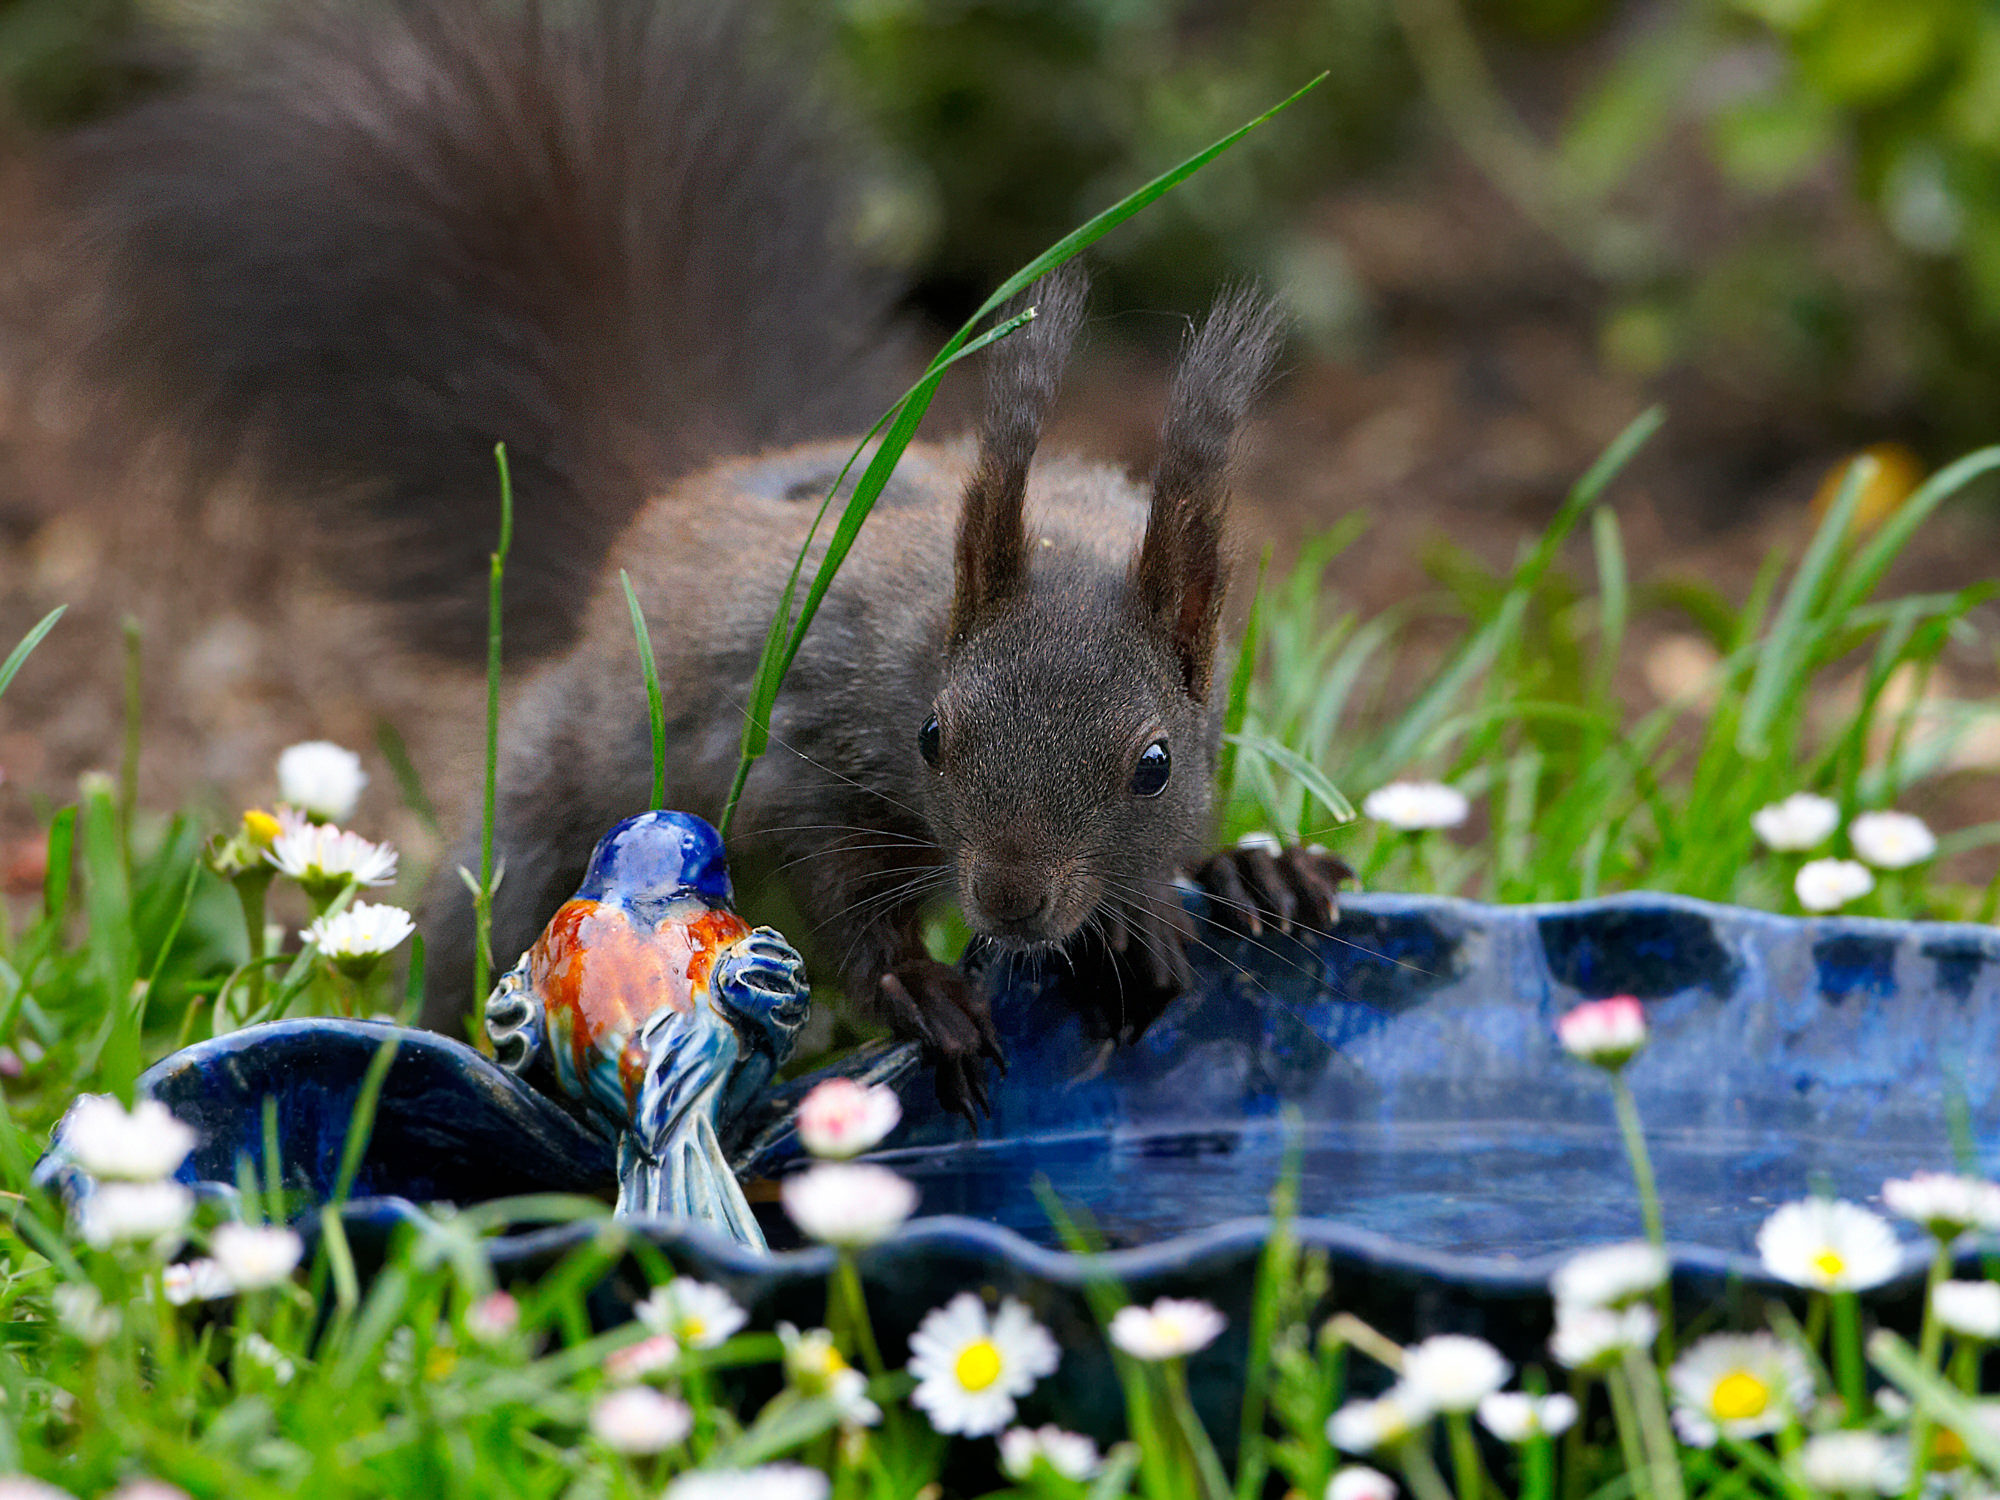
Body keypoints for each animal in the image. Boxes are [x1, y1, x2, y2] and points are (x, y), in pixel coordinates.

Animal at [32, 0, 1349, 1114]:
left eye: (1156, 766)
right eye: (932, 736)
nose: (1014, 903)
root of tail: (662, 510)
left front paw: (1228, 881)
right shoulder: (806, 749)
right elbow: (834, 884)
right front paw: (919, 990)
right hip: (545, 803)